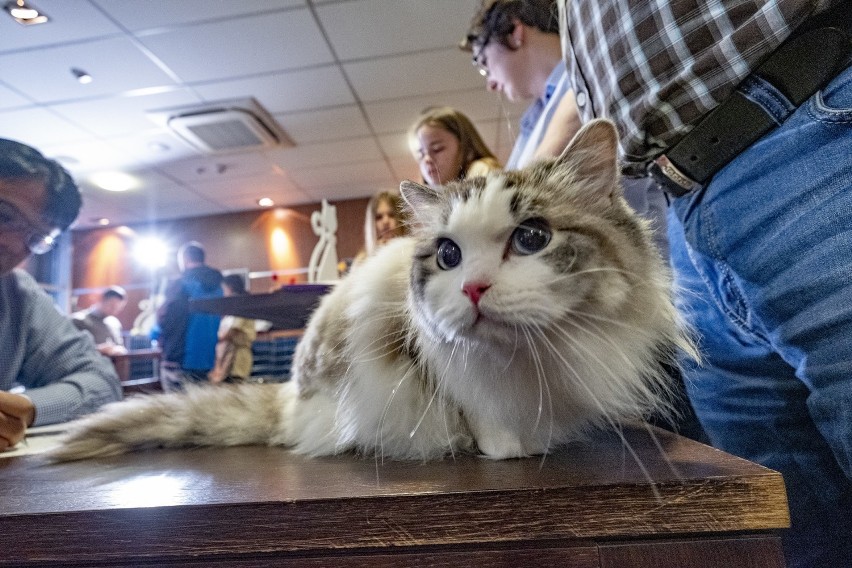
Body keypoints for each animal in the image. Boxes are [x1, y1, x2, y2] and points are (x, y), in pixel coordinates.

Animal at [48, 120, 692, 462]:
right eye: (448, 256)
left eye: (532, 238)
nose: (474, 288)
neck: (532, 357)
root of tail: (289, 399)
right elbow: (485, 417)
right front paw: (510, 448)